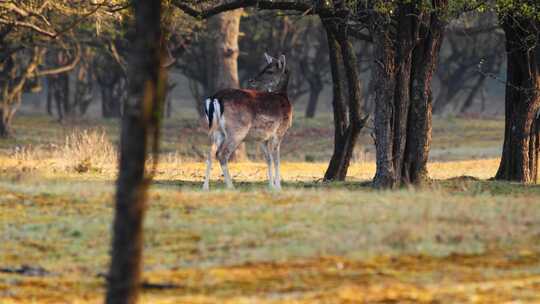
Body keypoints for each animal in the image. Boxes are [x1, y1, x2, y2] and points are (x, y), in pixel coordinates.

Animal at [202, 53, 294, 189]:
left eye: (270, 70)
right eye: (264, 68)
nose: (251, 80)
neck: (283, 98)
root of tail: (215, 98)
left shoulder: (262, 138)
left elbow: (269, 159)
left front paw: (271, 186)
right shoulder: (279, 131)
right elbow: (277, 159)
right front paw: (278, 187)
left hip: (217, 131)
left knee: (210, 154)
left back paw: (205, 187)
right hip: (237, 131)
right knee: (222, 154)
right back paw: (231, 186)